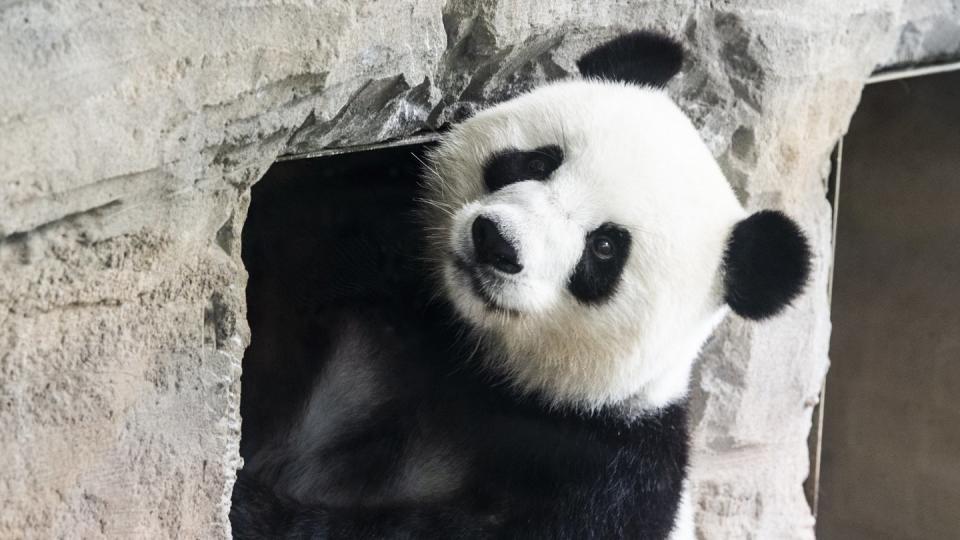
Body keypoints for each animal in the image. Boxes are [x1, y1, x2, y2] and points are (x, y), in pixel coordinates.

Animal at [231, 31, 808, 536]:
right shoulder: (366, 242)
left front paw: (254, 510)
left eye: (604, 248)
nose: (497, 244)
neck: (469, 348)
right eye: (537, 161)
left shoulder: (608, 467)